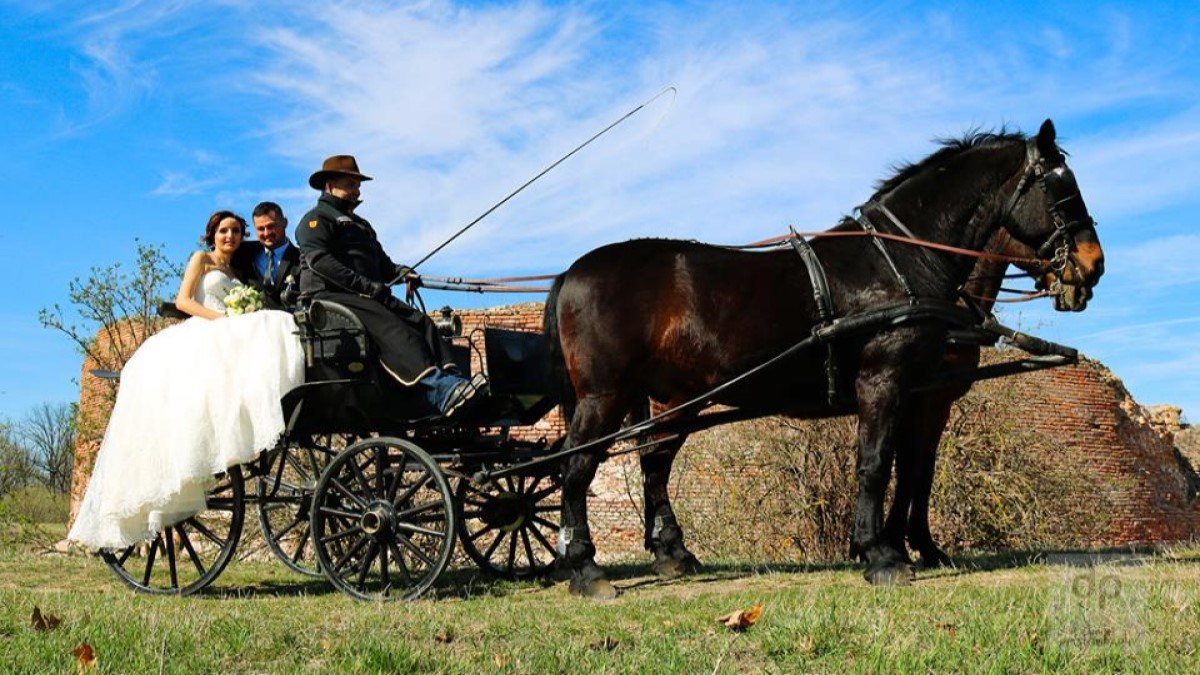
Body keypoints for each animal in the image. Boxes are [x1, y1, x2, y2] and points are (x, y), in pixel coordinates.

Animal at [544, 120, 1104, 593]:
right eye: (1060, 186)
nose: (1092, 265)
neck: (898, 262)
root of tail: (572, 272)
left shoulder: (915, 392)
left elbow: (908, 467)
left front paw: (905, 547)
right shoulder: (886, 381)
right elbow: (877, 464)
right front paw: (881, 554)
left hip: (673, 400)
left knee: (653, 464)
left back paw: (671, 554)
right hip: (605, 395)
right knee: (577, 467)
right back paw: (586, 568)